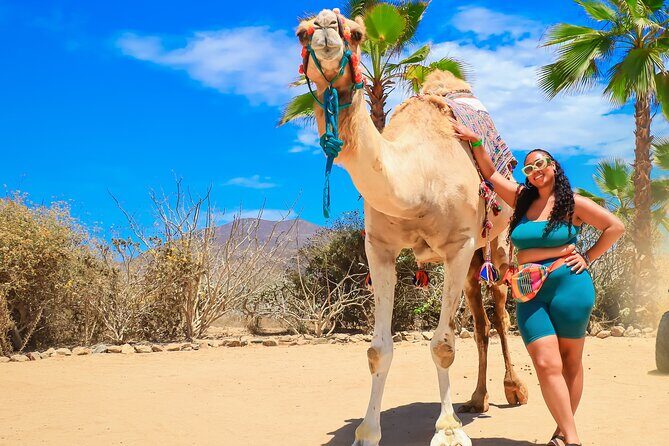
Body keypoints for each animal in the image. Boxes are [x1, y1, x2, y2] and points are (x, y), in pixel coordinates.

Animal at [295, 9, 527, 446]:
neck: (418, 178)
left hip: (496, 244)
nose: (326, 28)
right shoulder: (379, 247)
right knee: (482, 323)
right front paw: (367, 432)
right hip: (472, 260)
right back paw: (477, 399)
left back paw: (514, 390)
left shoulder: (457, 245)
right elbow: (378, 350)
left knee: (502, 312)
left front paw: (448, 429)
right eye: (301, 33)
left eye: (356, 33)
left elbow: (443, 345)